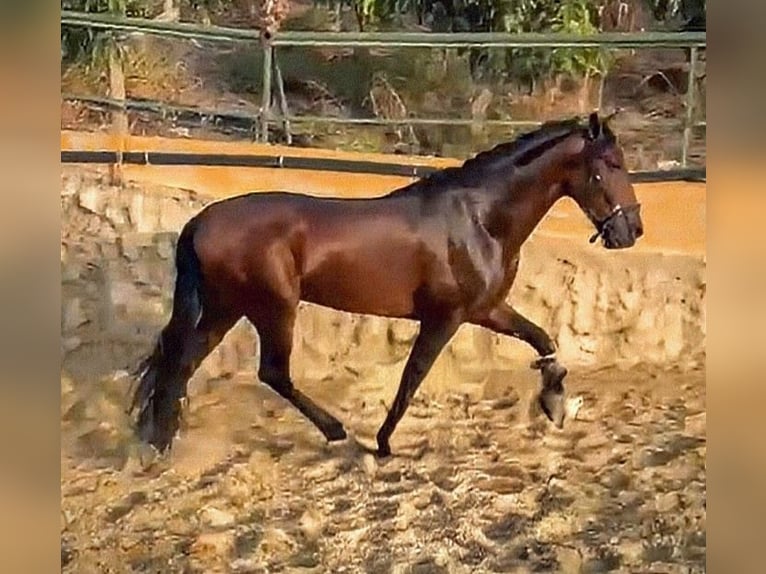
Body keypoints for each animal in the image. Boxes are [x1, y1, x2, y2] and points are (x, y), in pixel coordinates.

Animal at [129, 111, 643, 458]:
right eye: (612, 163)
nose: (632, 231)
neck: (480, 218)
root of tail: (200, 222)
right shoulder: (446, 317)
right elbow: (412, 378)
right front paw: (383, 443)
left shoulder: (487, 309)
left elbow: (543, 339)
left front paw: (556, 402)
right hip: (271, 306)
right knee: (272, 373)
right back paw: (335, 431)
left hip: (226, 308)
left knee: (183, 363)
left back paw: (159, 442)